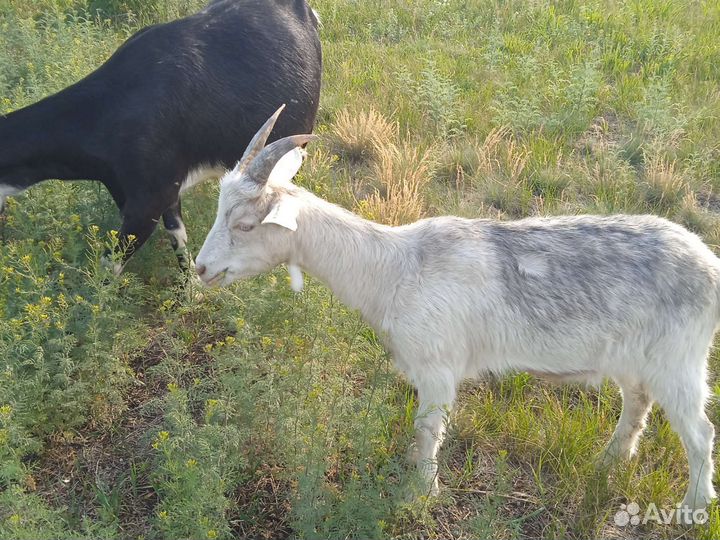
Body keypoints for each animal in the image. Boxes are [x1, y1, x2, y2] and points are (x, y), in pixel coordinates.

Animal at [196, 109, 719, 511]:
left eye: (245, 224)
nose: (201, 268)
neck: (395, 269)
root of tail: (709, 263)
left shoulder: (437, 367)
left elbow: (429, 430)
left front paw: (420, 494)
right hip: (637, 359)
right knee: (638, 401)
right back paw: (611, 461)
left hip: (680, 360)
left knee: (700, 432)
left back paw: (691, 507)